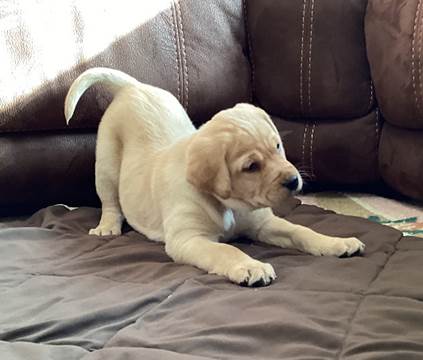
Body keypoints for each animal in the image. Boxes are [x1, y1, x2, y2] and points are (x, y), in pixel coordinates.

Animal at [65, 67, 364, 286]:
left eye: (277, 146)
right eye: (251, 166)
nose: (293, 181)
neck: (230, 204)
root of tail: (133, 87)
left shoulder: (263, 224)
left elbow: (301, 231)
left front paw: (336, 242)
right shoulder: (188, 238)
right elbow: (225, 250)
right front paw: (250, 265)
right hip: (106, 164)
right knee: (110, 201)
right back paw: (107, 226)